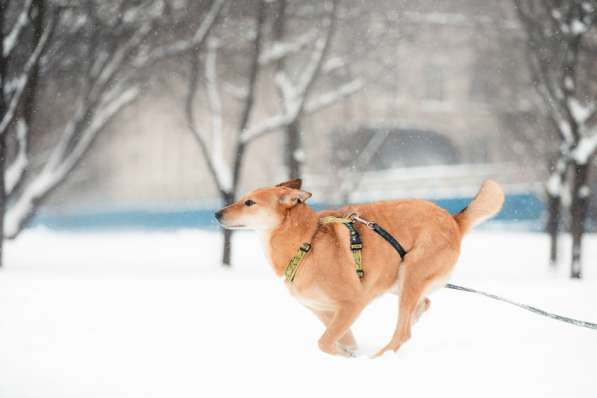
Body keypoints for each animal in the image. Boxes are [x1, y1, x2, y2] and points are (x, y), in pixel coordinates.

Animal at [214, 180, 502, 358]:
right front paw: (349, 353)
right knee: (424, 304)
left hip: (411, 272)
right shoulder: (324, 311)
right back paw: (414, 316)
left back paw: (379, 358)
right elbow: (341, 339)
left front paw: (349, 357)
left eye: (249, 203)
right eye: (242, 199)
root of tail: (452, 219)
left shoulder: (352, 303)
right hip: (395, 278)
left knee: (403, 332)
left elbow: (324, 341)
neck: (306, 242)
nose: (217, 214)